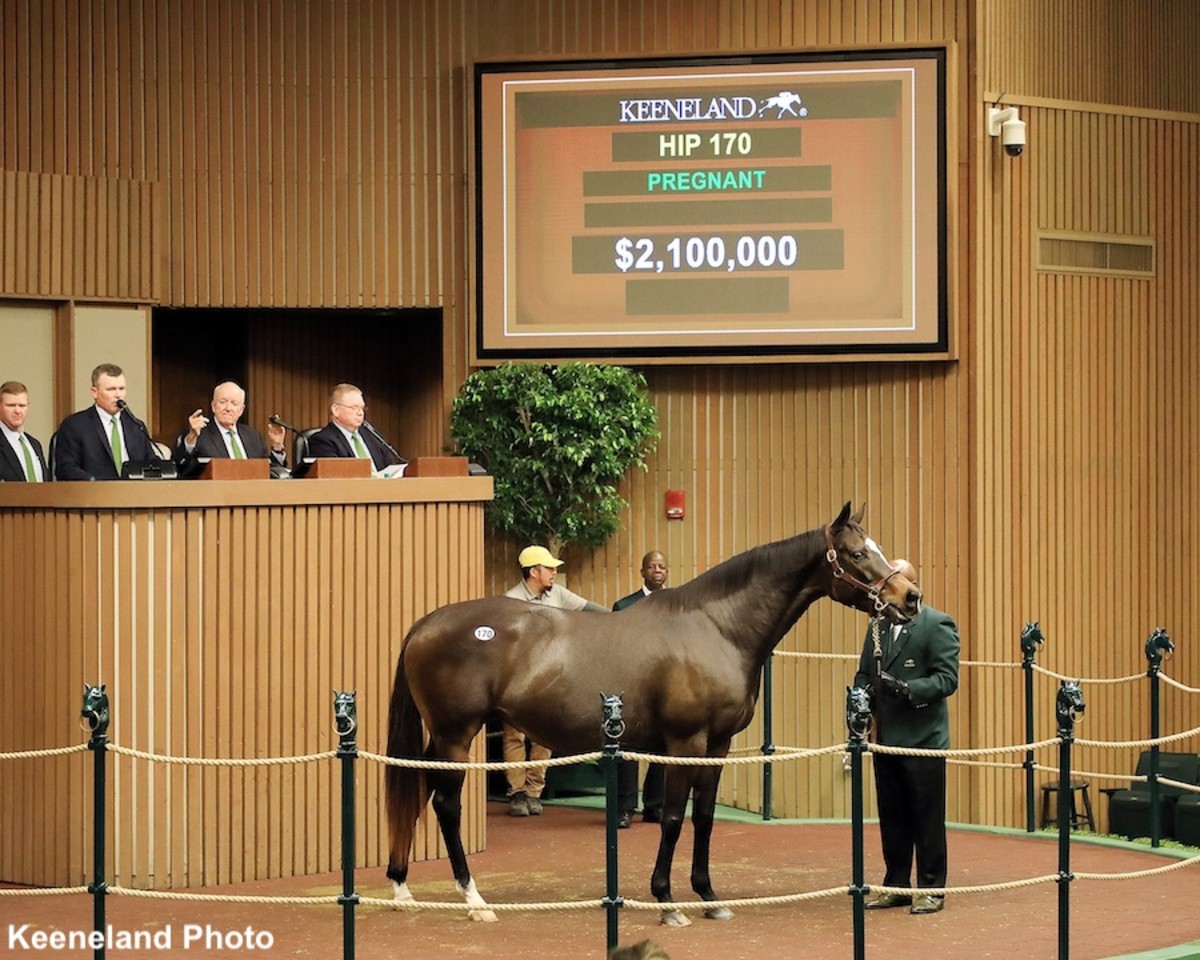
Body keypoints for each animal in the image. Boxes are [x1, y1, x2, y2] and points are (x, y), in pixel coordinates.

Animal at [384, 501, 916, 921]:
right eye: (857, 553)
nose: (909, 597)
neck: (716, 627)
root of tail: (425, 623)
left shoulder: (718, 745)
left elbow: (704, 817)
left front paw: (708, 896)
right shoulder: (685, 742)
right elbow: (675, 818)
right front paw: (666, 901)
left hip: (442, 738)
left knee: (417, 789)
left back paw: (402, 887)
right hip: (456, 734)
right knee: (446, 804)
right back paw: (473, 900)